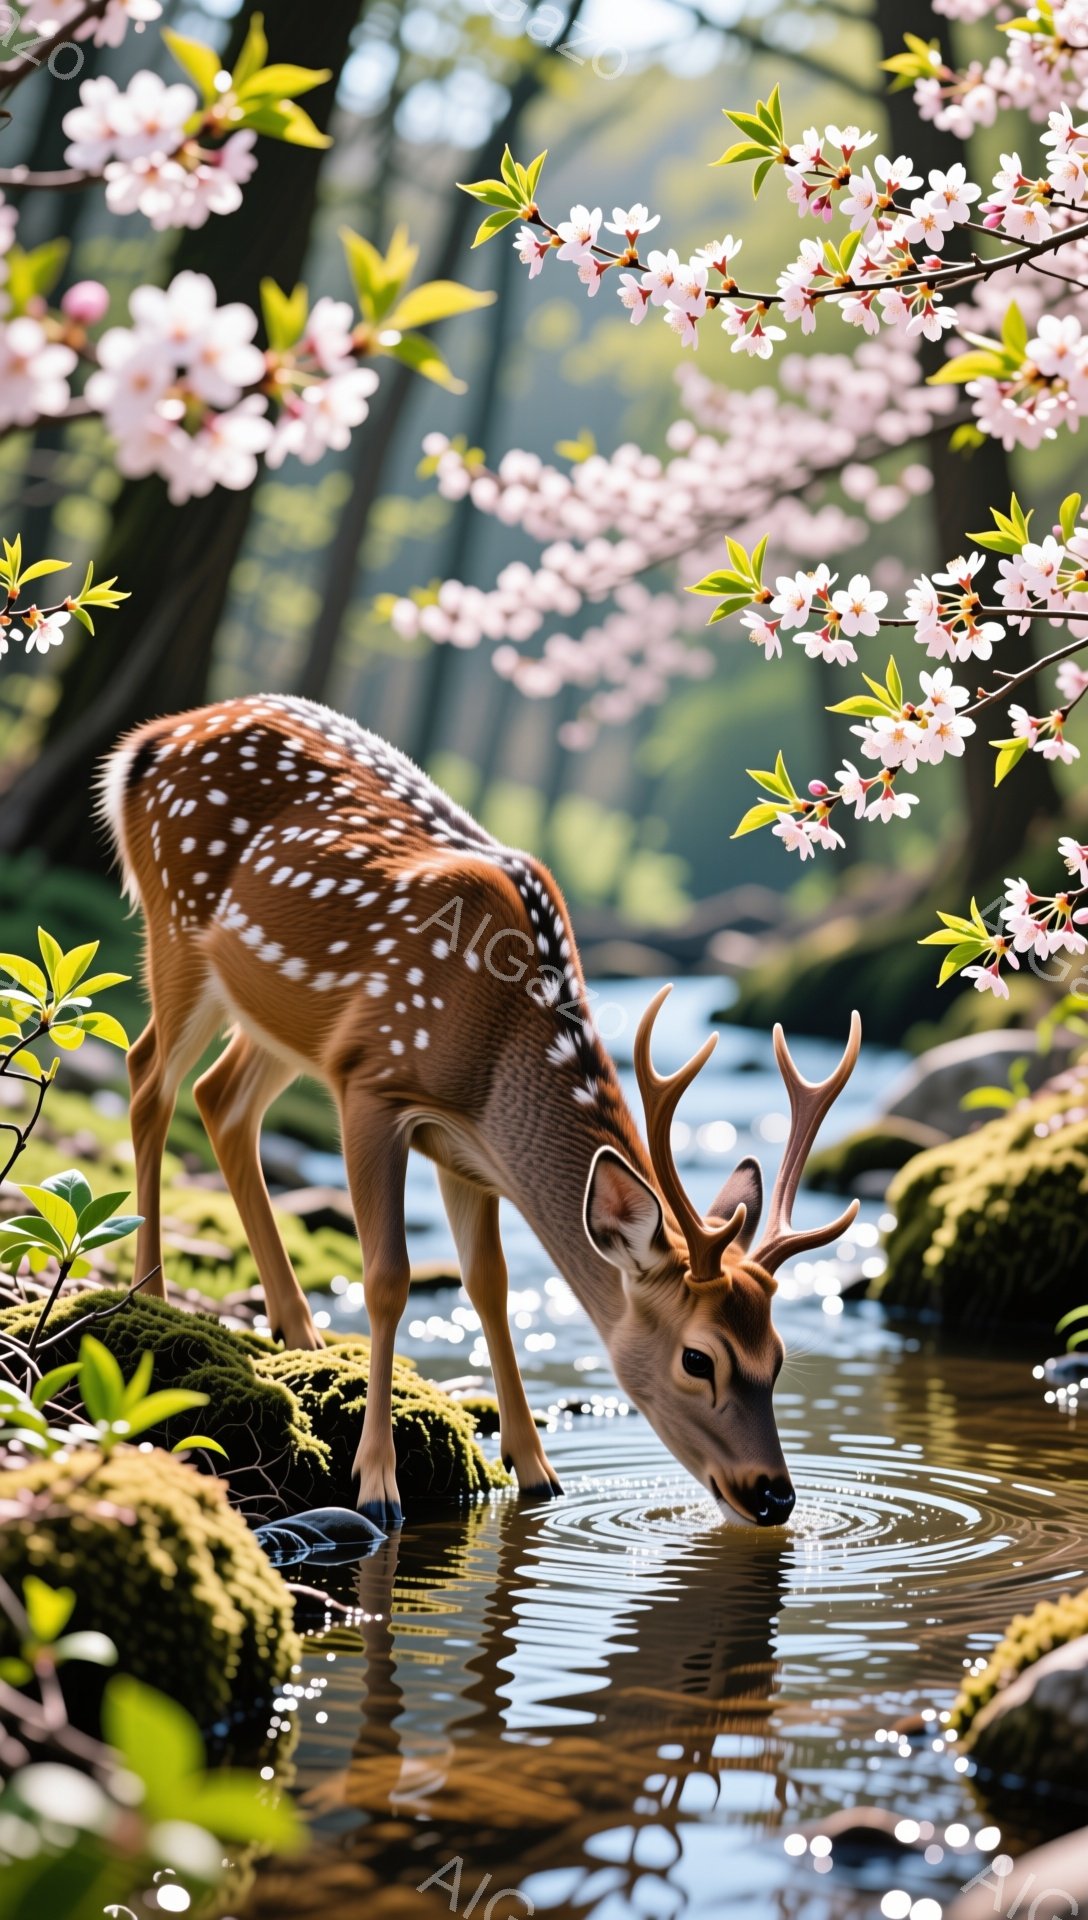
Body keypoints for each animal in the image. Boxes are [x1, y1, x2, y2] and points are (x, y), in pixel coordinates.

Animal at [98, 693, 861, 1532]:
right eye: (700, 1357)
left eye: (777, 1356)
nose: (774, 1494)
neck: (495, 1061)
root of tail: (146, 743)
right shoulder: (373, 1080)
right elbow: (388, 1277)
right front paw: (377, 1484)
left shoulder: (463, 1149)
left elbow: (490, 1286)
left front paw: (538, 1472)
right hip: (176, 926)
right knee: (147, 1076)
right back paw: (154, 1297)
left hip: (274, 1014)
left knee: (220, 1097)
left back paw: (297, 1327)